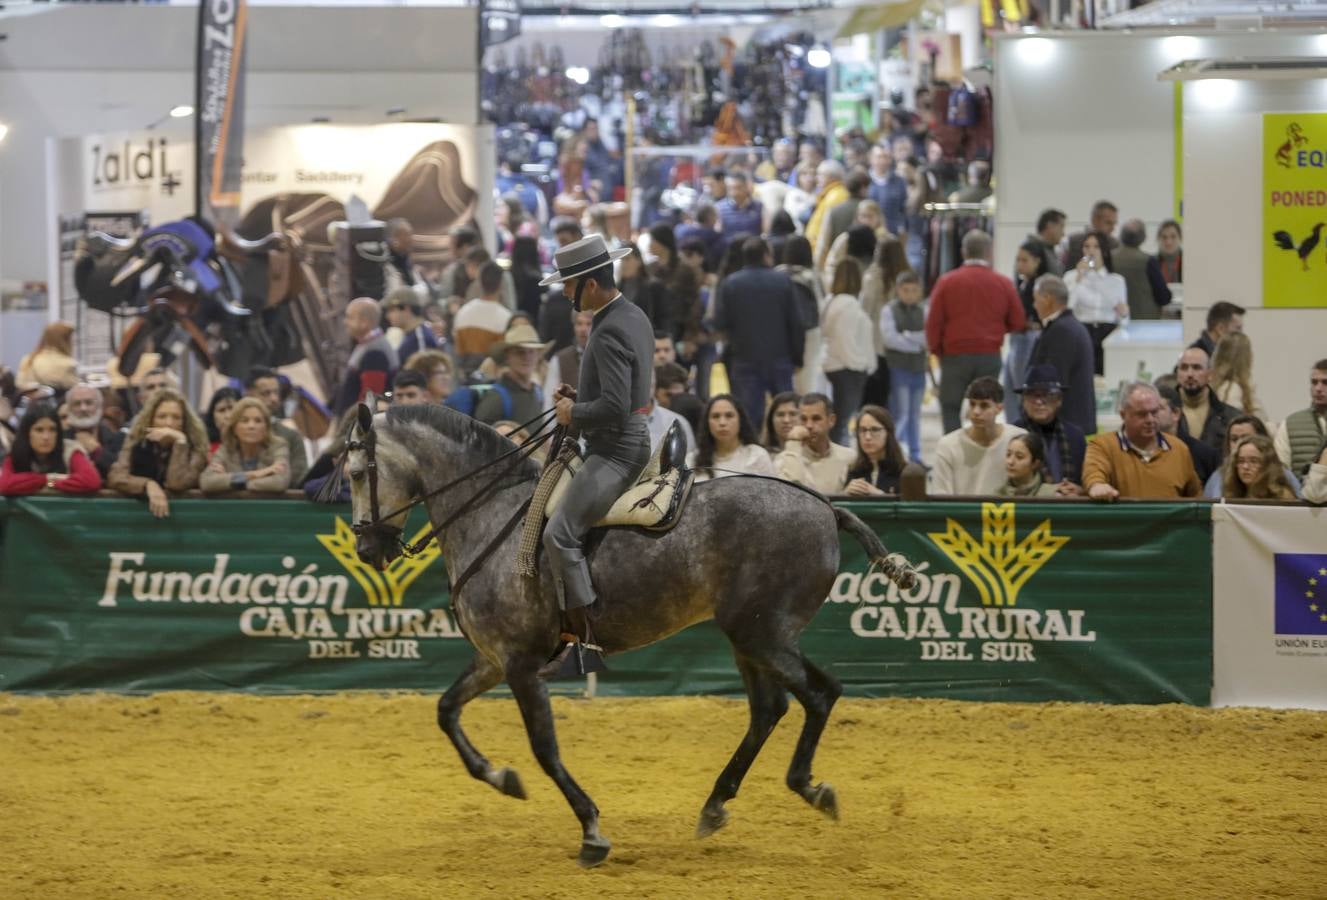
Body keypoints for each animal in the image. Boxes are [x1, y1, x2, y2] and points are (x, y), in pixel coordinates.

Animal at [346, 402, 917, 867]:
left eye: (353, 473)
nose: (368, 549)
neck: (493, 520)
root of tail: (826, 507)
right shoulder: (495, 659)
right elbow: (446, 710)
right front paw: (500, 778)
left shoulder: (522, 665)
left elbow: (544, 748)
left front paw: (591, 831)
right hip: (753, 638)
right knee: (774, 707)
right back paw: (717, 804)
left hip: (762, 637)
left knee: (815, 696)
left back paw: (806, 787)